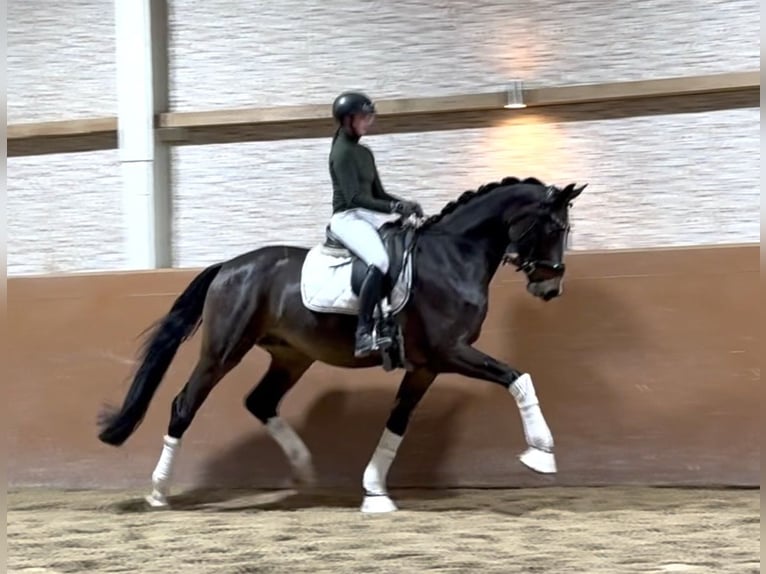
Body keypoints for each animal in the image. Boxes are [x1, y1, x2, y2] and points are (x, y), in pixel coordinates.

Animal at [97, 175, 586, 513]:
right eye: (553, 227)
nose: (551, 288)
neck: (453, 256)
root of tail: (229, 267)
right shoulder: (451, 352)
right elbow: (518, 377)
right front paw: (541, 454)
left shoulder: (425, 366)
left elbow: (398, 423)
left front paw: (374, 492)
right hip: (223, 351)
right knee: (184, 405)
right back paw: (159, 492)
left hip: (291, 356)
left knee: (260, 401)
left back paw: (303, 467)